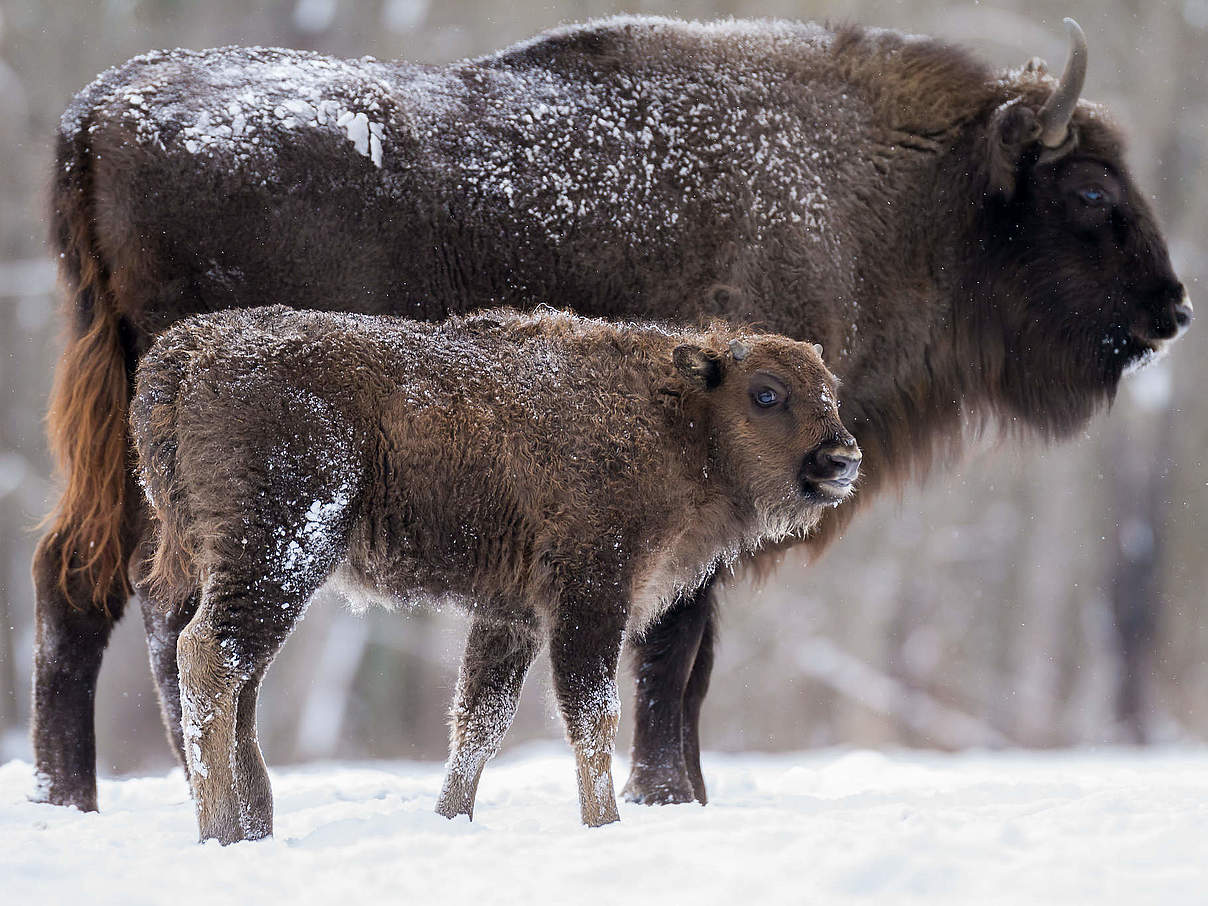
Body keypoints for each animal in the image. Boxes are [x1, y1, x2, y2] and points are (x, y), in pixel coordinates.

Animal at [129, 305, 860, 845]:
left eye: (830, 392)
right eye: (766, 393)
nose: (841, 458)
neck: (677, 415)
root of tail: (181, 355)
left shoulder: (512, 617)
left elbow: (479, 722)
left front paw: (451, 819)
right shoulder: (590, 596)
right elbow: (592, 716)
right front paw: (604, 825)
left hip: (242, 567)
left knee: (232, 674)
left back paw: (253, 823)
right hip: (279, 554)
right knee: (210, 656)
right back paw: (223, 830)